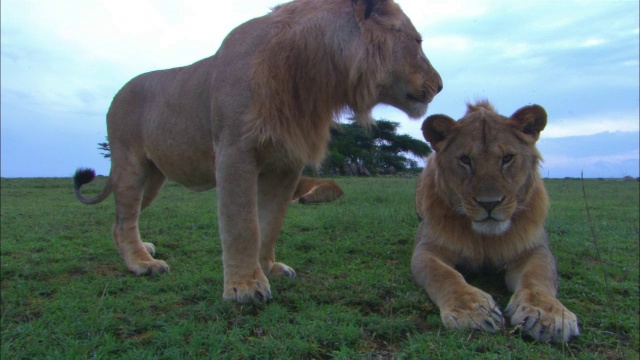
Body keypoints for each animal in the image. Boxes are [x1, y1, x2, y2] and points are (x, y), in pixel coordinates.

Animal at [71, 0, 440, 304]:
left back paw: (143, 249)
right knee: (123, 220)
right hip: (130, 165)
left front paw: (268, 268)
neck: (318, 75)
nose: (440, 86)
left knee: (122, 219)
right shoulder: (235, 152)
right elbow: (243, 224)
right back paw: (142, 263)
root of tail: (118, 93)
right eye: (418, 42)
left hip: (154, 178)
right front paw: (245, 287)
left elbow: (271, 222)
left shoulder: (286, 164)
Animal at [412, 100, 584, 342]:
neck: (486, 237)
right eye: (465, 160)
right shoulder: (426, 248)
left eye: (507, 158)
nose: (490, 203)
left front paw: (547, 315)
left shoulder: (534, 249)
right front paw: (472, 310)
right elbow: (444, 275)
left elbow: (537, 278)